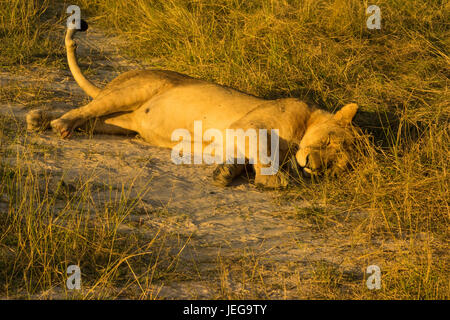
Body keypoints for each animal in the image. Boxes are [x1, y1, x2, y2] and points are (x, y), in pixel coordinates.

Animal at [27, 20, 358, 189]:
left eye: (336, 165)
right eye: (328, 141)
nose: (312, 166)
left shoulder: (234, 140)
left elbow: (242, 160)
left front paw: (225, 174)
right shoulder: (251, 124)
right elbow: (266, 154)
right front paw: (273, 180)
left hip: (122, 123)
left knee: (91, 119)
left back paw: (40, 119)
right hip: (137, 88)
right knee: (84, 109)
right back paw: (57, 124)